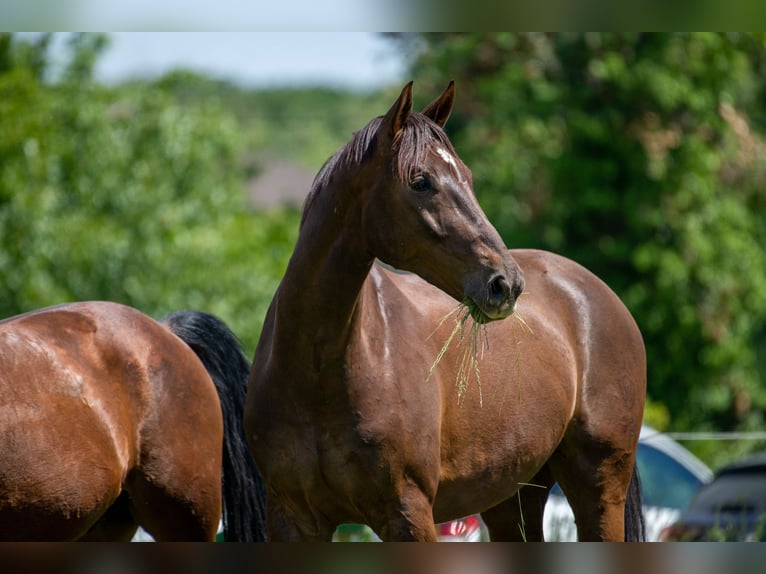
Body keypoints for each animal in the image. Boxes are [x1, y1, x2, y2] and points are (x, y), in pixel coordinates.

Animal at [246, 82, 648, 544]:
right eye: (421, 182)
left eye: (468, 178)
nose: (506, 282)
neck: (317, 372)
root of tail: (598, 294)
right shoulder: (292, 519)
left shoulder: (408, 514)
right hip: (513, 497)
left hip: (599, 489)